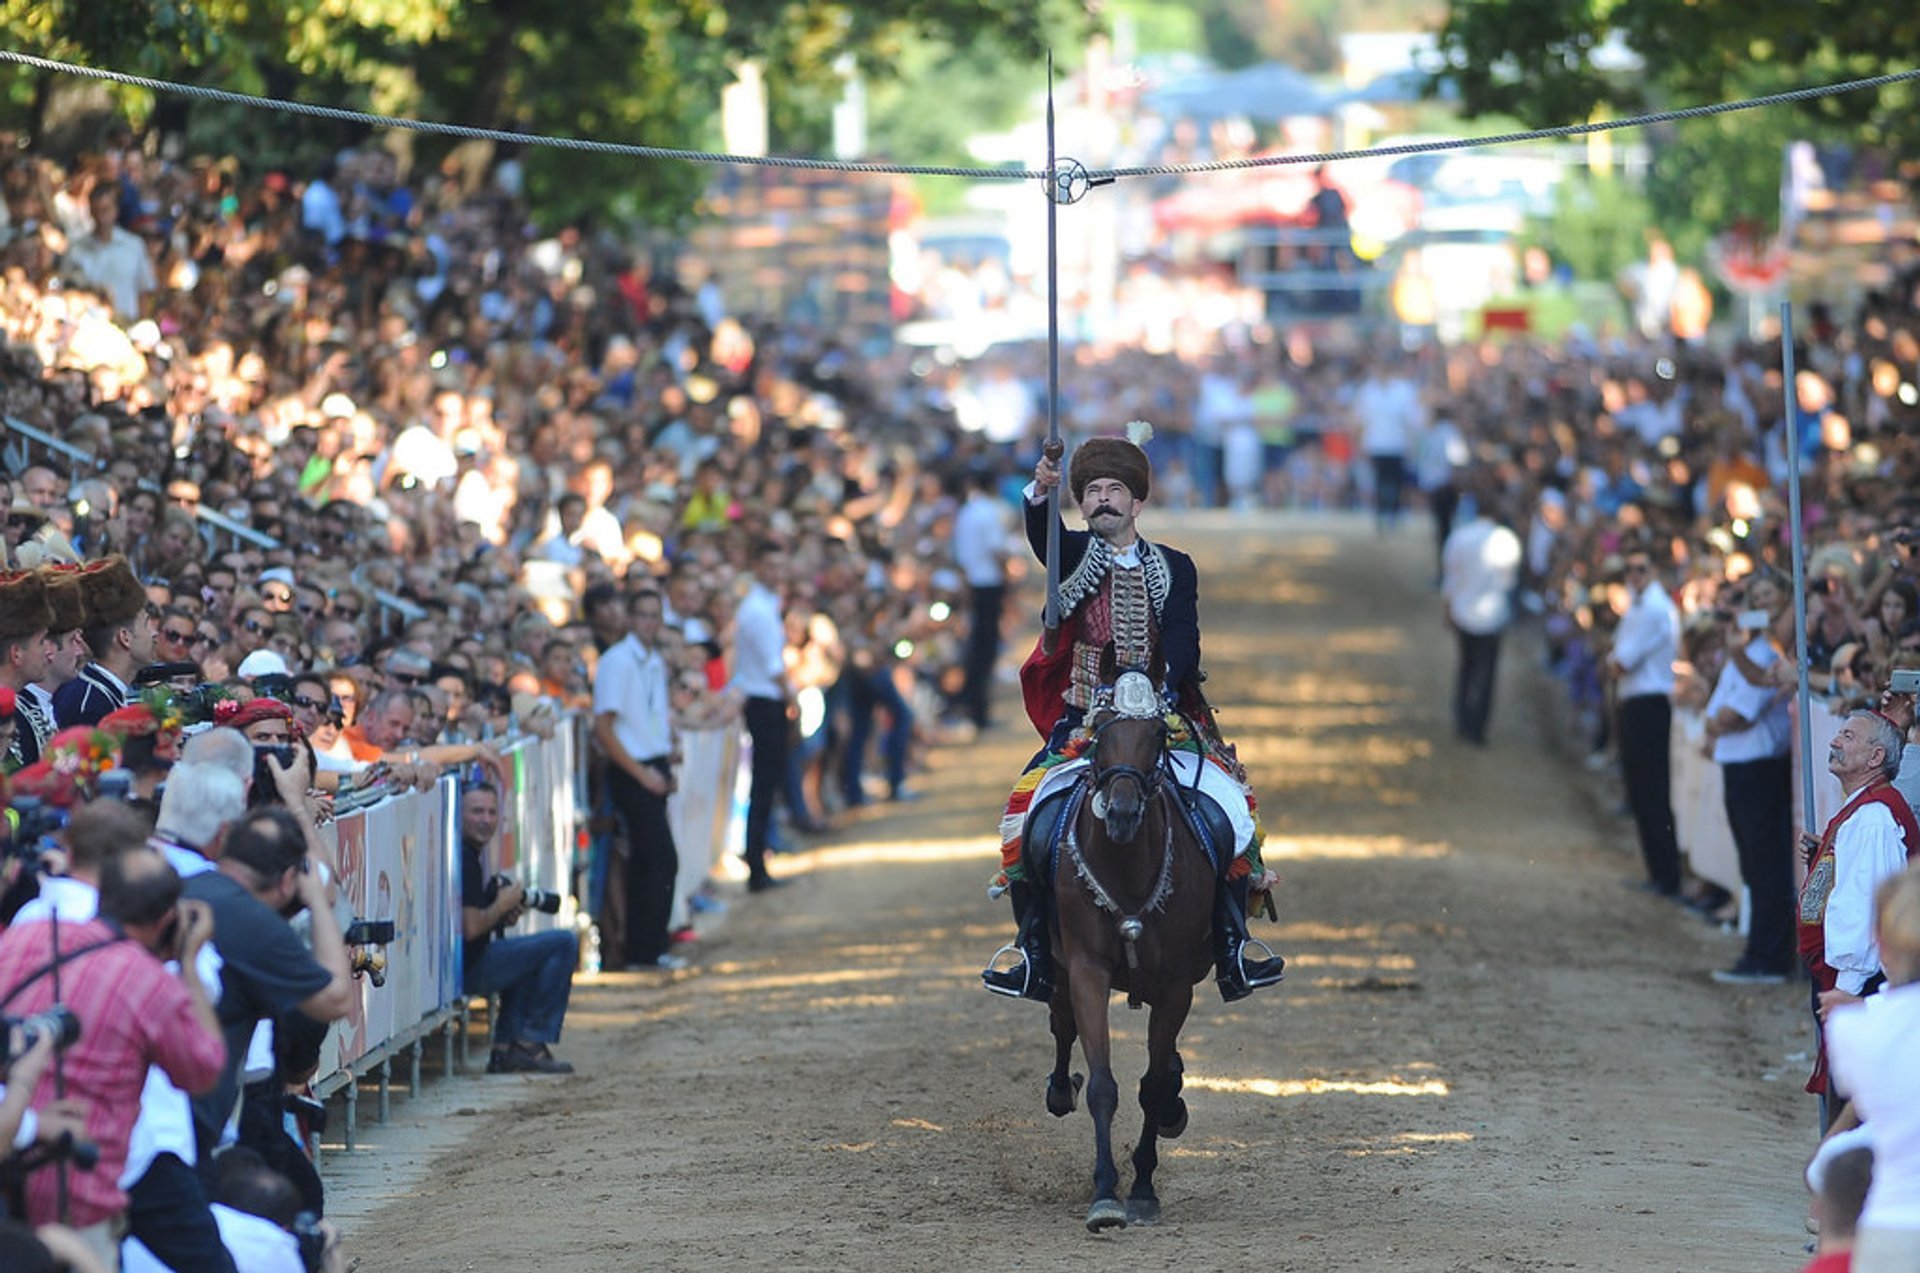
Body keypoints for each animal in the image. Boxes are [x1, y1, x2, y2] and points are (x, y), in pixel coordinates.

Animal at [1044, 672, 1205, 1228]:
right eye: (1100, 734)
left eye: (1157, 735)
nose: (1121, 813)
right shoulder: (1086, 970)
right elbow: (1102, 1085)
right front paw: (1105, 1195)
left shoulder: (1177, 984)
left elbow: (1152, 1086)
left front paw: (1142, 1189)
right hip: (1056, 964)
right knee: (1061, 1024)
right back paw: (1058, 1088)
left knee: (1164, 1066)